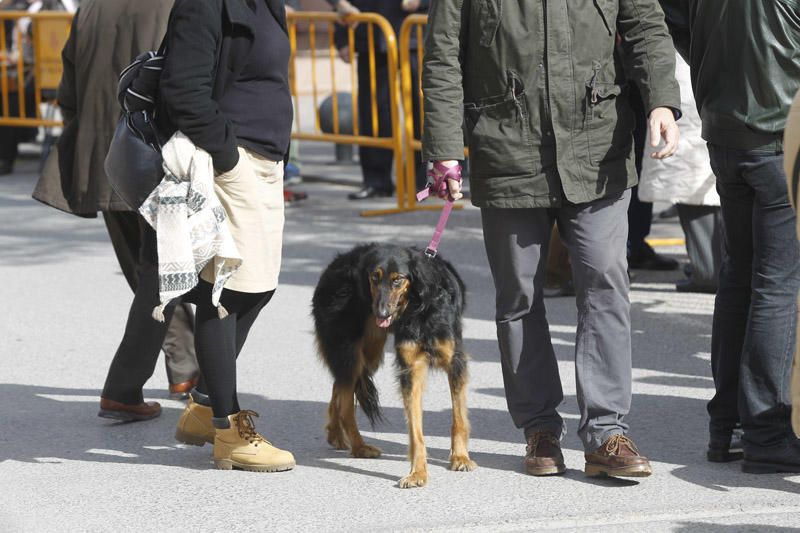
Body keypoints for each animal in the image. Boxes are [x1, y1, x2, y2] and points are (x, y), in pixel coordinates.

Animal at [310, 243, 476, 488]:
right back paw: (359, 447)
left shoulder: (455, 362)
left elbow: (459, 417)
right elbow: (415, 430)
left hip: (368, 353)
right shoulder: (411, 369)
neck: (418, 309)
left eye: (398, 280)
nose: (381, 312)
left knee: (339, 386)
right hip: (353, 353)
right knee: (346, 401)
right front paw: (417, 473)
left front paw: (460, 457)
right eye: (374, 278)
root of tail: (333, 266)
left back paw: (336, 434)